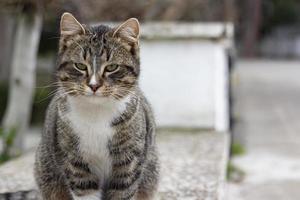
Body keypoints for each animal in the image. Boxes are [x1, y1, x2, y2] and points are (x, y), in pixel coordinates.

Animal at [34, 12, 159, 200]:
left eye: (112, 67)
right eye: (80, 65)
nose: (93, 85)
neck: (96, 114)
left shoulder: (129, 162)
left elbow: (123, 191)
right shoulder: (75, 163)